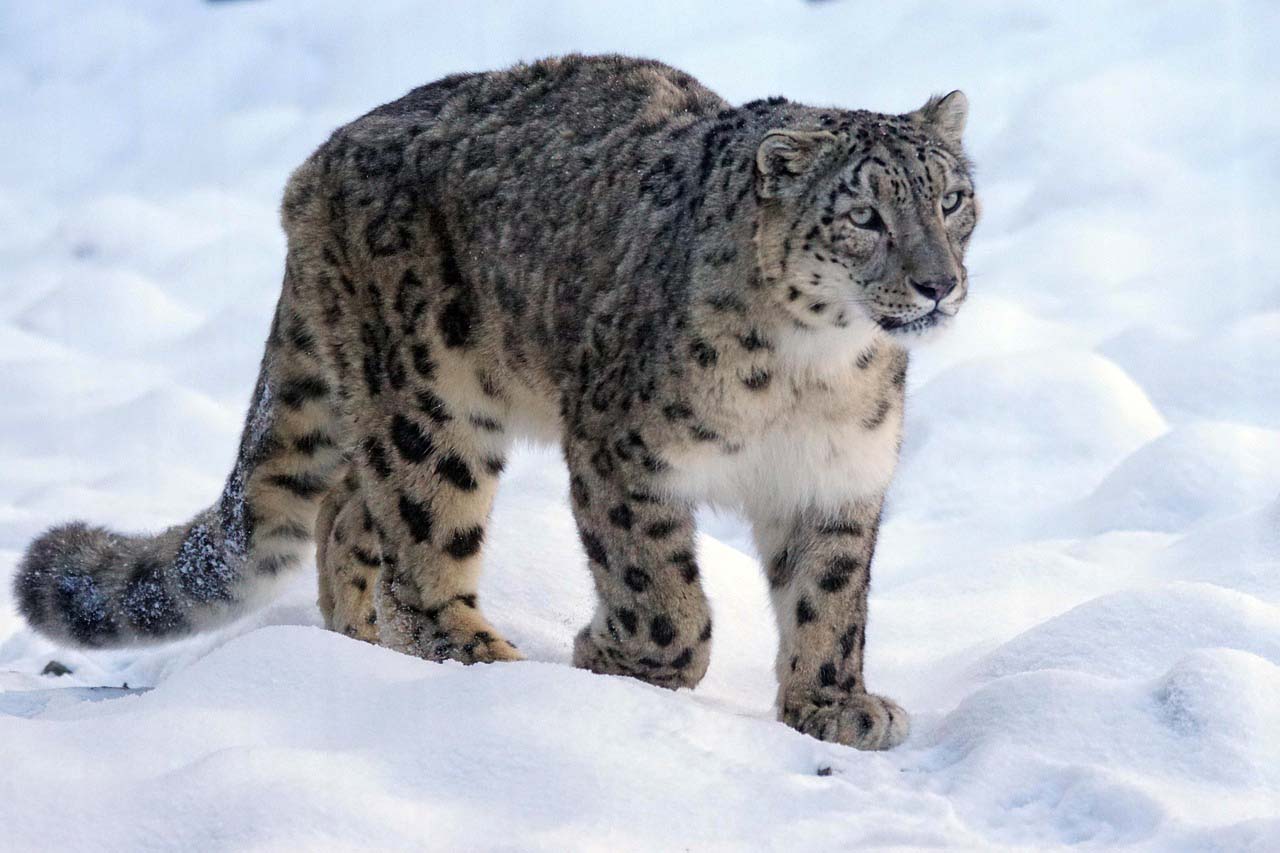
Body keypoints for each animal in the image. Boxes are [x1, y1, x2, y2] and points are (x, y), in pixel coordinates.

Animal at [14, 55, 978, 750]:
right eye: (864, 216)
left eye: (952, 198)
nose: (939, 283)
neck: (815, 371)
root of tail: (317, 164)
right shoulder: (623, 452)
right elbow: (662, 592)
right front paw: (616, 656)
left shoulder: (837, 478)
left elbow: (831, 598)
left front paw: (834, 704)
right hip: (429, 402)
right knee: (416, 539)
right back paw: (479, 659)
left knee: (346, 513)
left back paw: (359, 643)